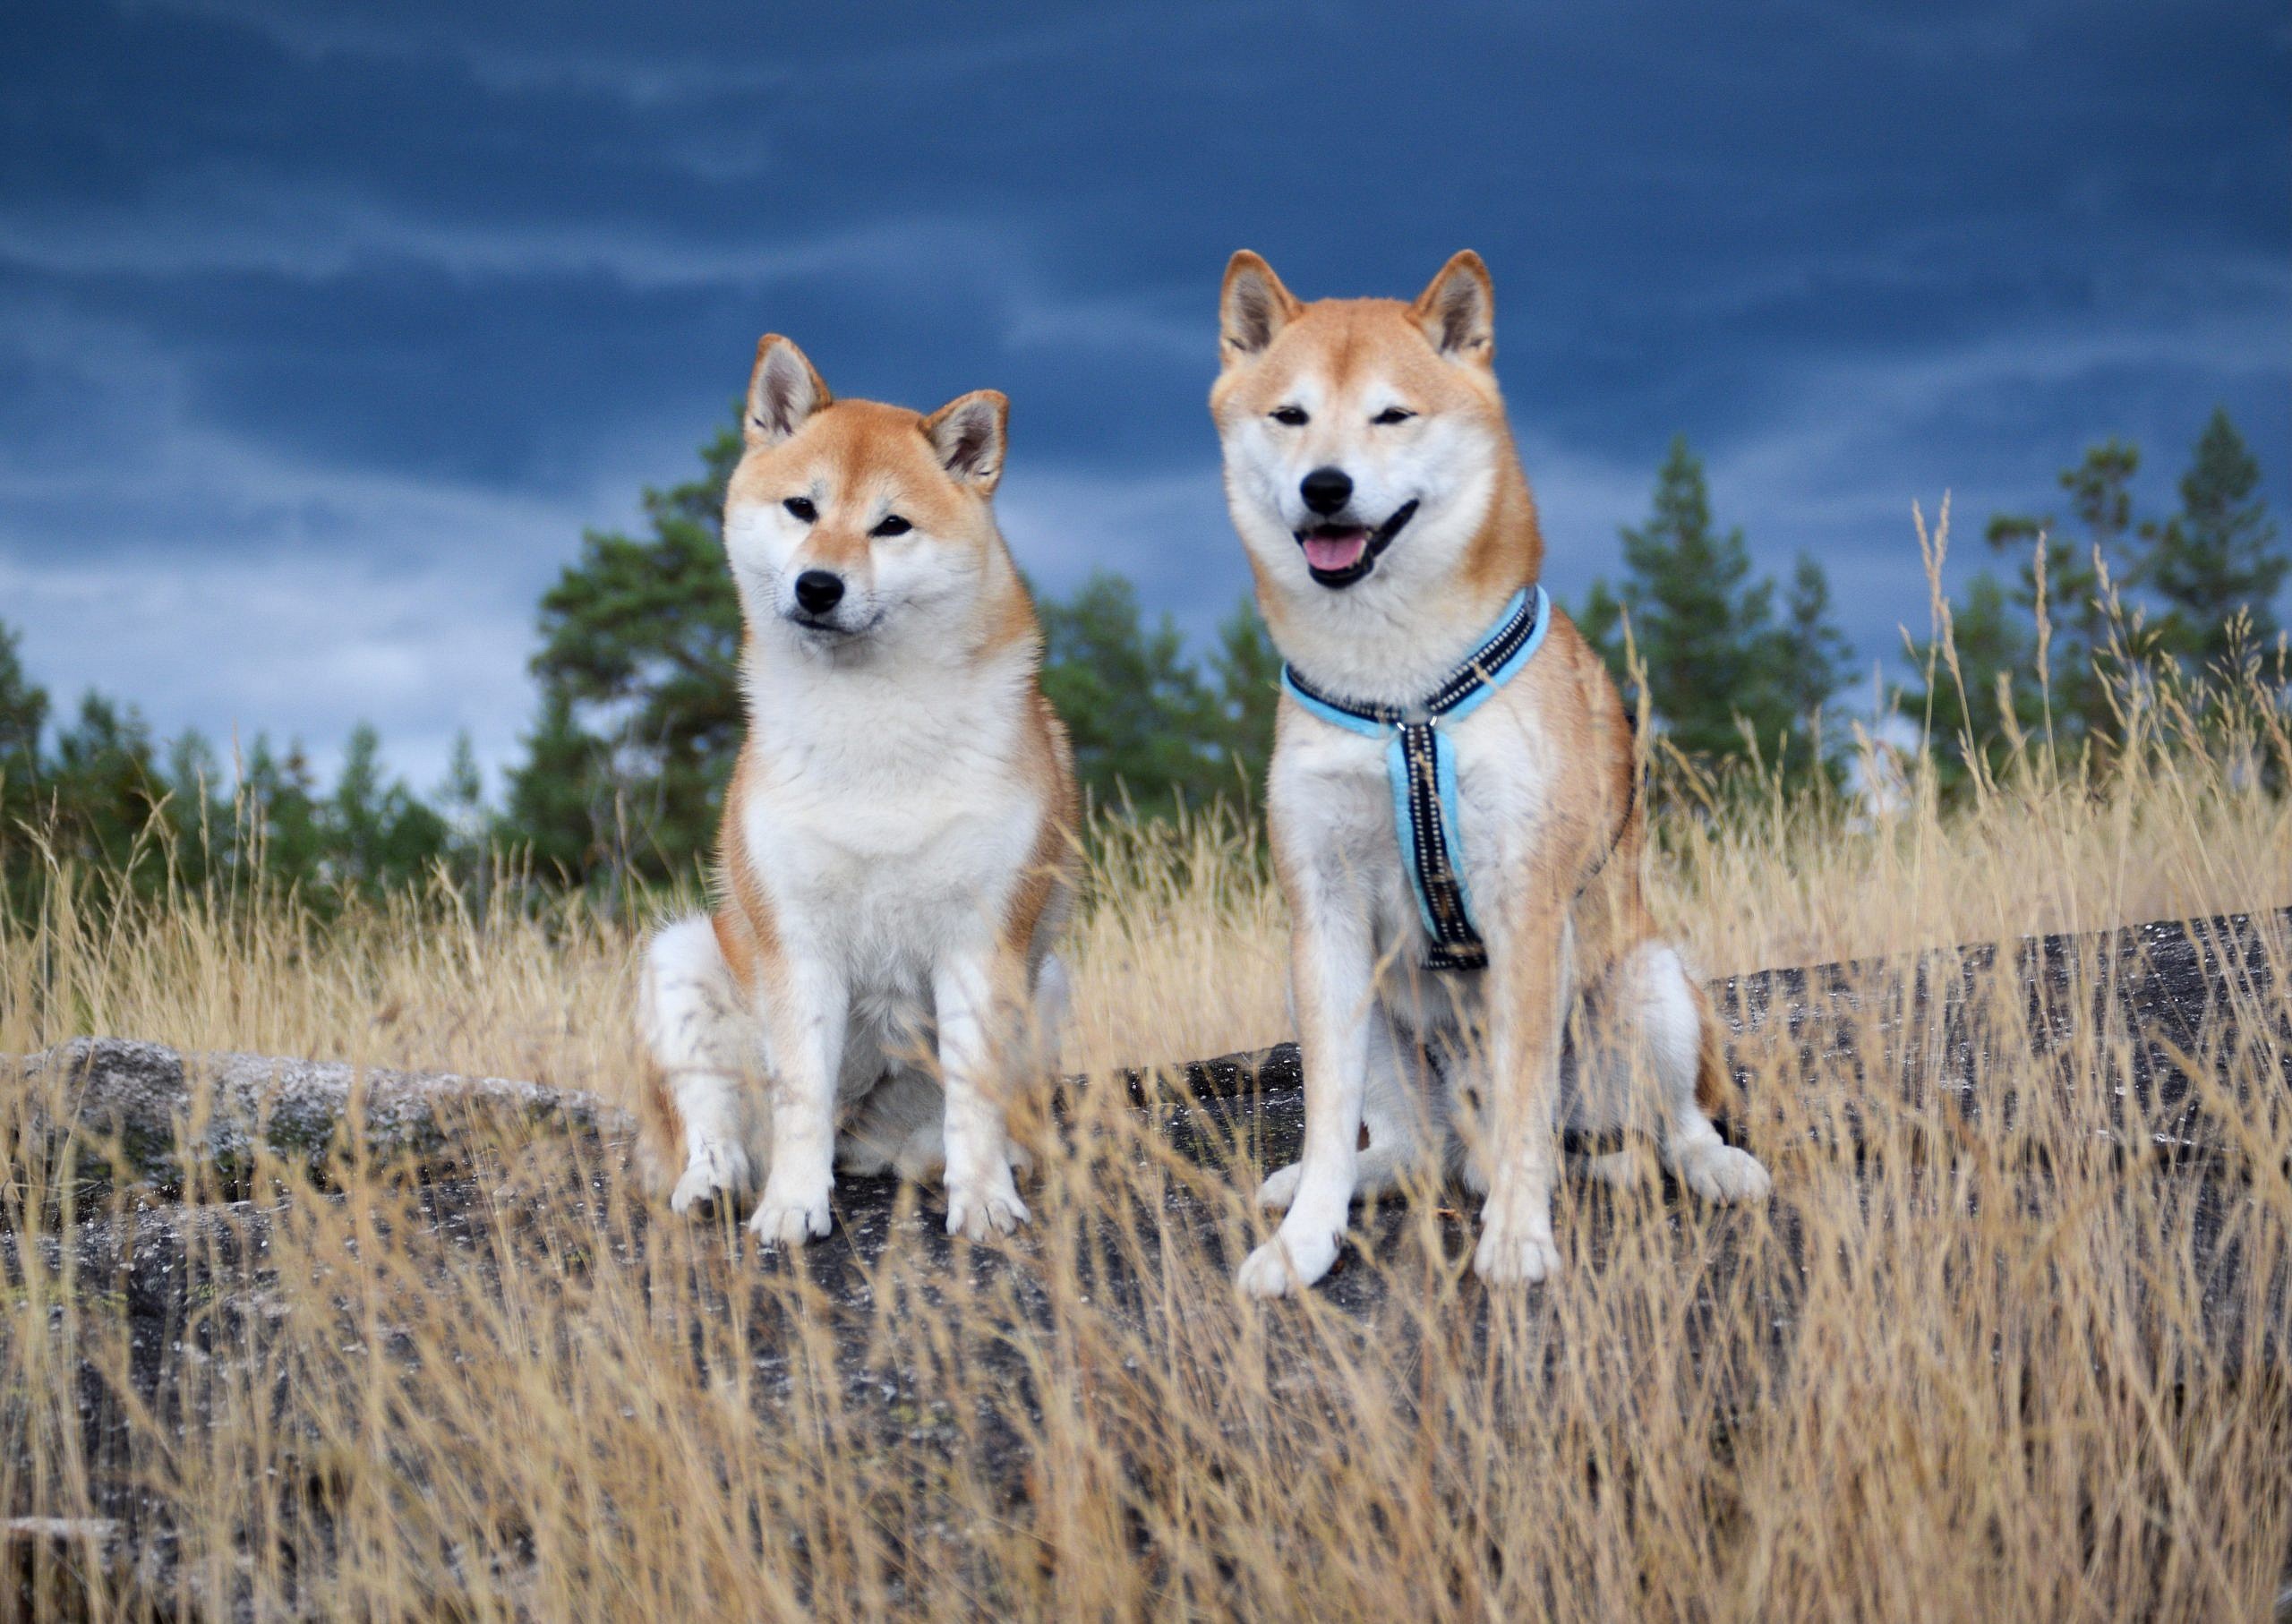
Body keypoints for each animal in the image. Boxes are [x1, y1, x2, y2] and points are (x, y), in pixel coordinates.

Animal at [641, 329, 1077, 1245]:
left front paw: (985, 1200)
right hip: (681, 957)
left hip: (1048, 980)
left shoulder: (979, 940)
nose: (819, 585)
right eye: (802, 509)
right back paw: (716, 1184)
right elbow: (800, 1099)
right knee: (715, 1123)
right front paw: (790, 1210)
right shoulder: (800, 945)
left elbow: (974, 1103)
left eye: (891, 525)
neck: (871, 727)